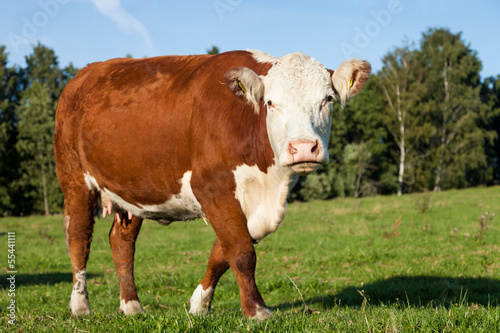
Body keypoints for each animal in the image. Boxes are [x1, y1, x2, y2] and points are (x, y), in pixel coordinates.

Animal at [53, 49, 372, 316]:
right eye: (271, 103)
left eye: (327, 99)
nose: (304, 147)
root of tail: (85, 73)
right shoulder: (212, 188)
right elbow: (241, 252)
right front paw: (256, 311)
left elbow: (222, 252)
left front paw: (199, 305)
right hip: (74, 178)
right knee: (78, 236)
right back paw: (80, 306)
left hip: (130, 189)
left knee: (122, 241)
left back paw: (131, 306)